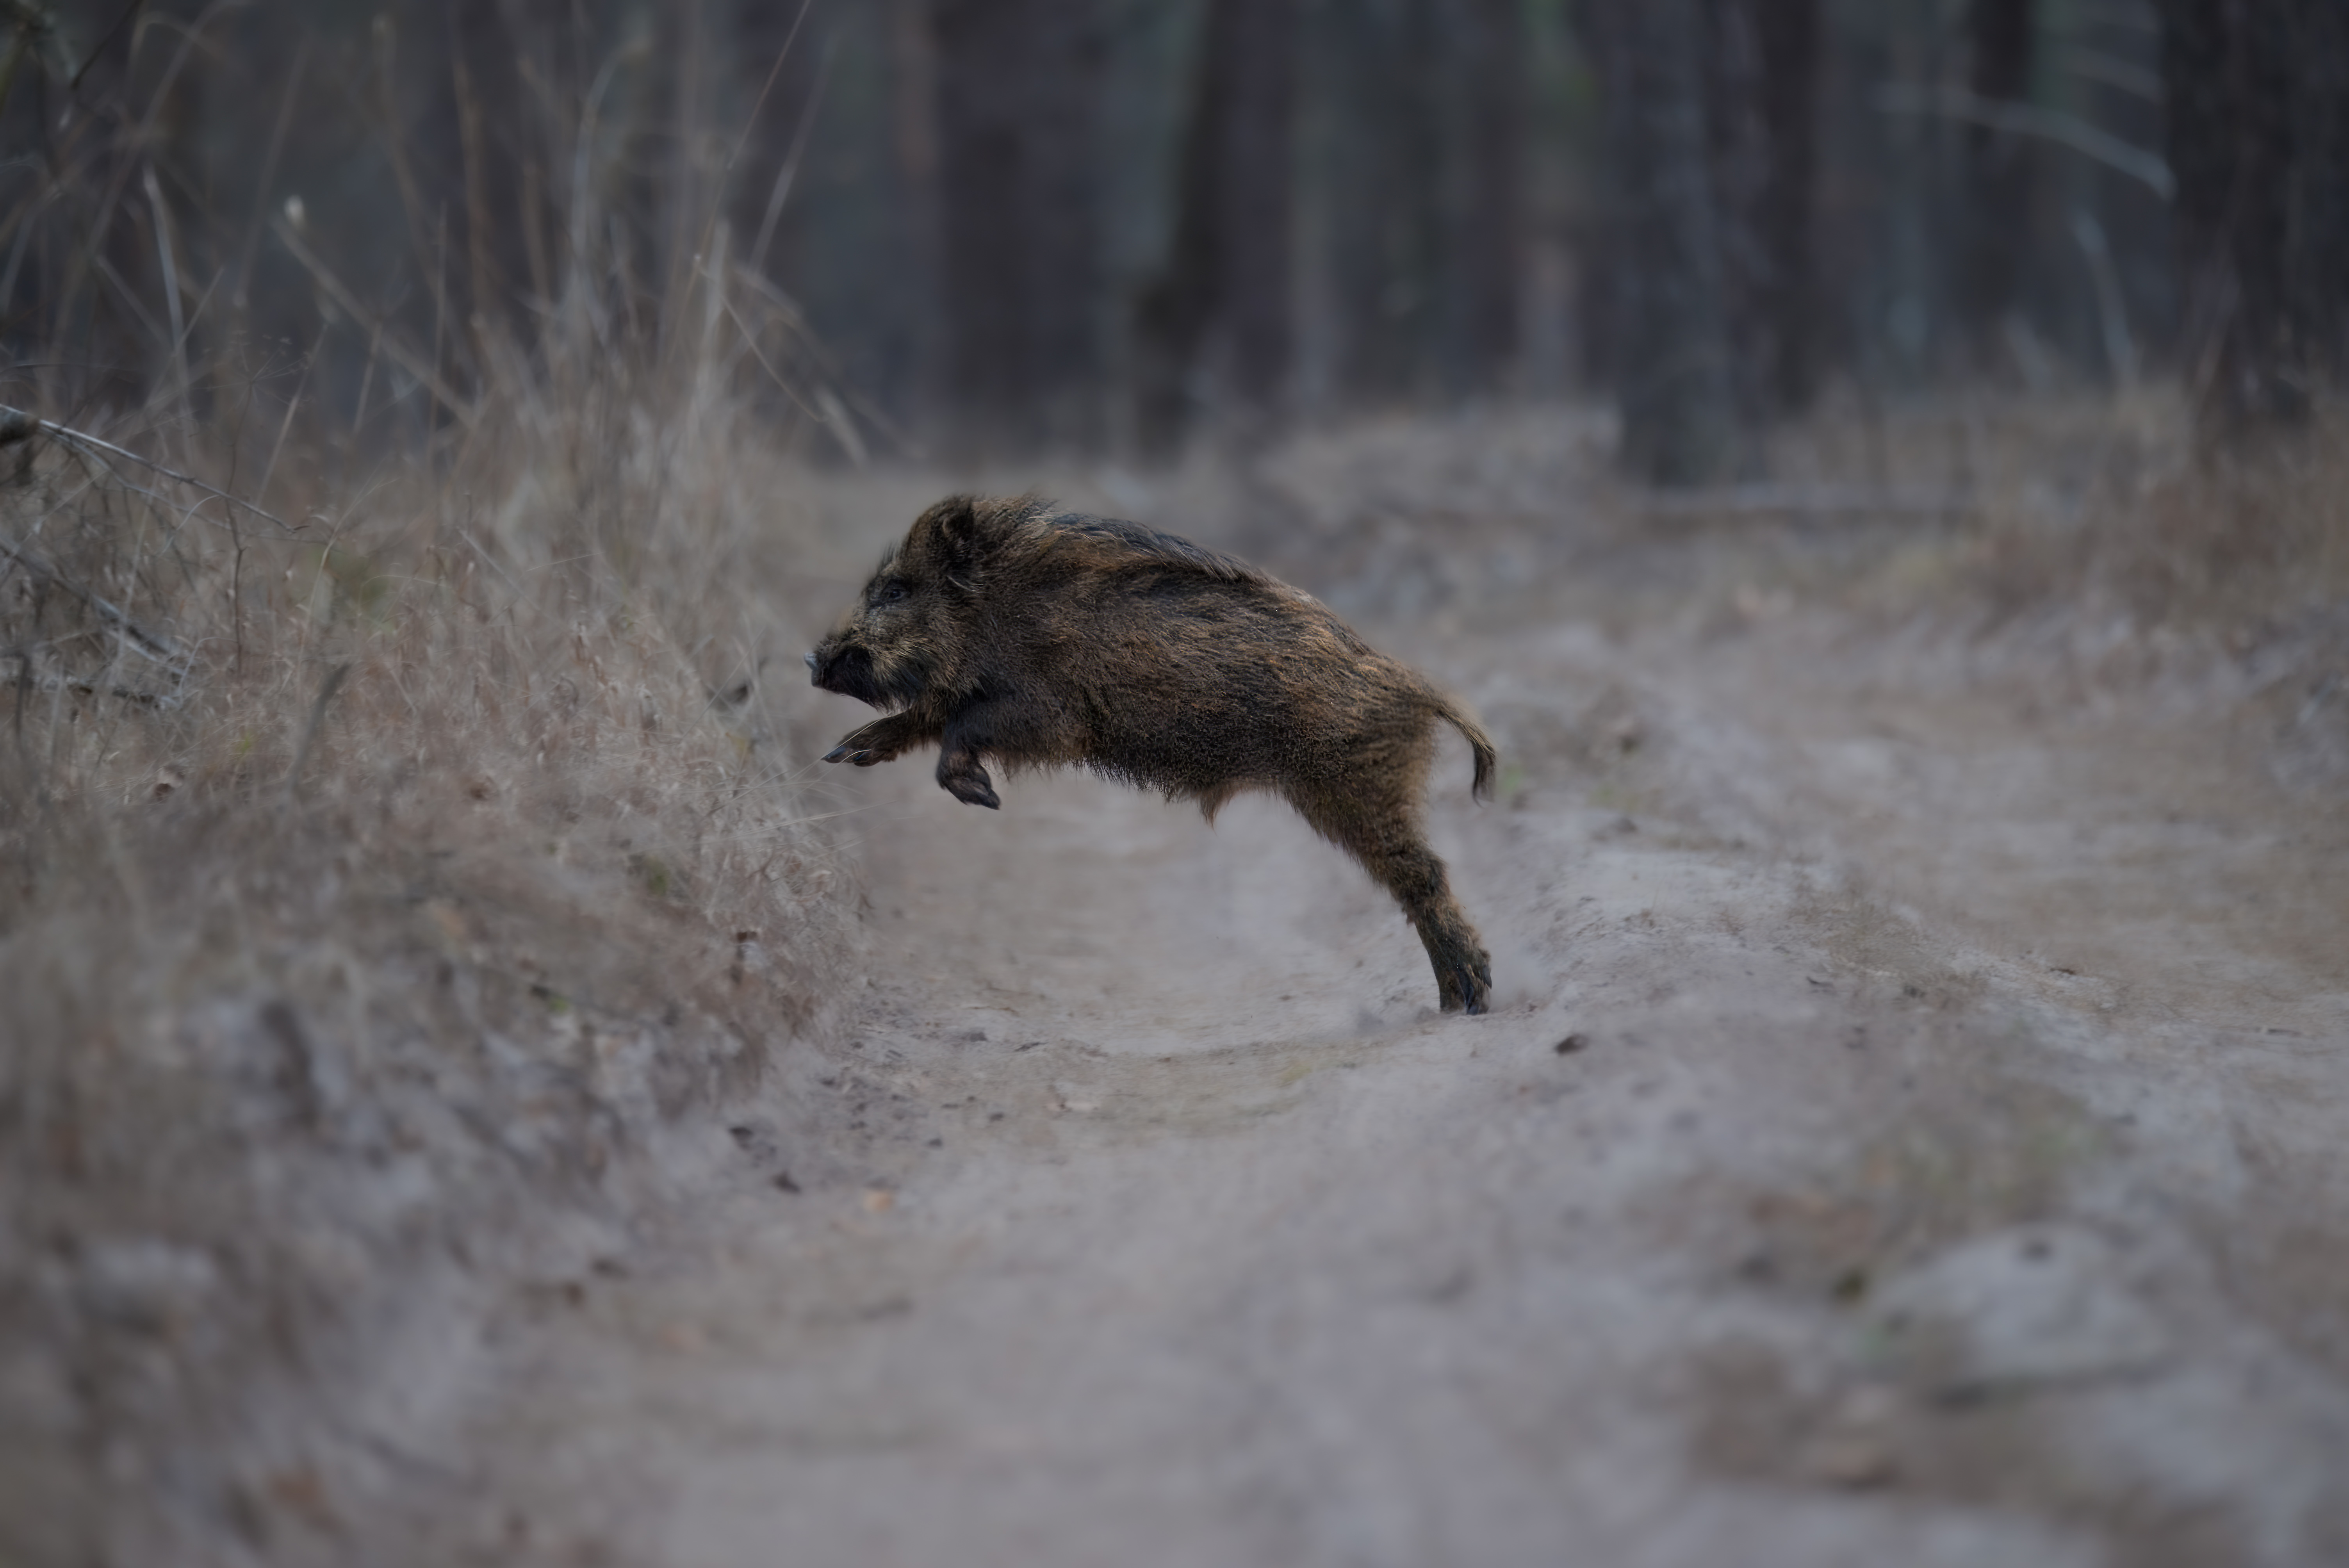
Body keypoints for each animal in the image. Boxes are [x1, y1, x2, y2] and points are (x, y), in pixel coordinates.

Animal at [806, 494, 1496, 1014]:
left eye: (897, 591)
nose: (815, 660)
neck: (997, 610)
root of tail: (1420, 689)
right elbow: (924, 717)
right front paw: (844, 754)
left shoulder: (1050, 715)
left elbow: (956, 730)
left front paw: (985, 797)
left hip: (1356, 787)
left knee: (1424, 876)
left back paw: (1467, 999)